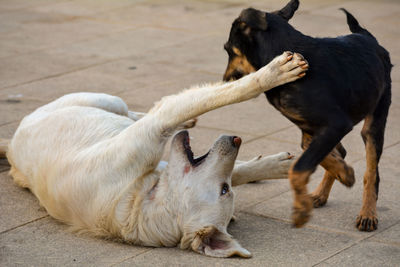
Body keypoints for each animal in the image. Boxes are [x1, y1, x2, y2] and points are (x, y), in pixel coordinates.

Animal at [4, 51, 308, 258]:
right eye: (224, 190)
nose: (237, 139)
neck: (141, 201)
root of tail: (10, 145)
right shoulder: (154, 131)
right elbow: (224, 94)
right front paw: (274, 73)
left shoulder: (158, 145)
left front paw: (278, 167)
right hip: (105, 100)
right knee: (147, 108)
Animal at [223, 0, 392, 232]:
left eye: (228, 50)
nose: (225, 81)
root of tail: (369, 38)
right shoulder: (311, 127)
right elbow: (313, 154)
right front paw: (344, 172)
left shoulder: (336, 124)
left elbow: (299, 168)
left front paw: (301, 211)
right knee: (340, 151)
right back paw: (322, 192)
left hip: (375, 118)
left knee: (371, 172)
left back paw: (367, 214)